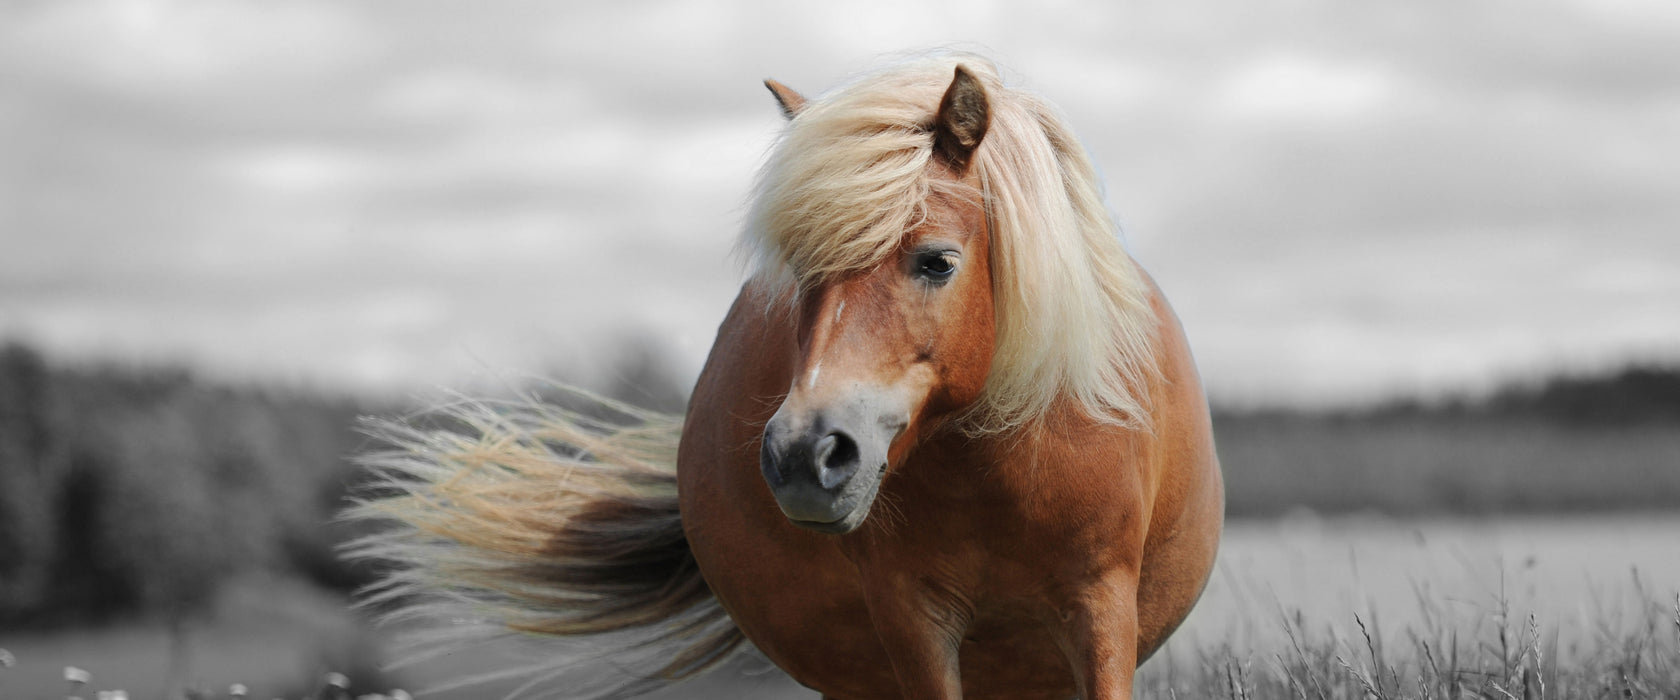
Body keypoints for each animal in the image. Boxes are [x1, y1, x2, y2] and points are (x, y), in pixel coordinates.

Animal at [351, 55, 1223, 698]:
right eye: (801, 275)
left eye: (937, 261)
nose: (807, 455)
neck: (1001, 470)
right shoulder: (915, 624)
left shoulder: (1099, 612)